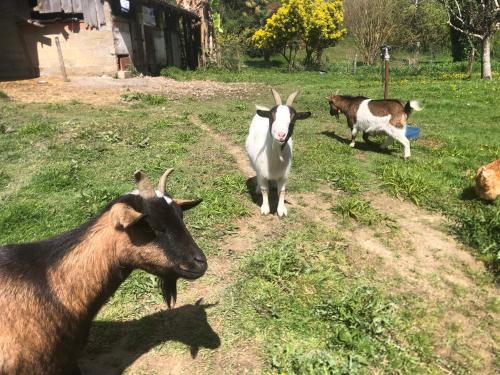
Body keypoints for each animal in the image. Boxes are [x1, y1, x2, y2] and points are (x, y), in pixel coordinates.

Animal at [245, 89, 310, 217]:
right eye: (272, 115)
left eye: (294, 118)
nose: (281, 135)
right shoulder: (262, 172)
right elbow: (265, 190)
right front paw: (265, 208)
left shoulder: (284, 175)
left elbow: (282, 191)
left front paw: (281, 210)